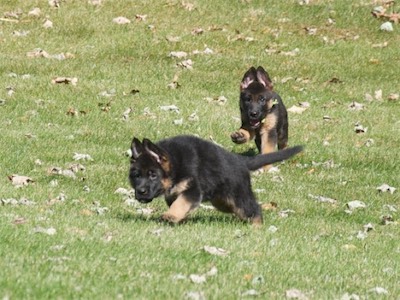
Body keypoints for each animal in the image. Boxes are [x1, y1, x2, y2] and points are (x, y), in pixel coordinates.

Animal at [130, 135, 302, 224]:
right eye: (137, 176)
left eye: (153, 175)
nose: (141, 192)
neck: (175, 165)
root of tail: (240, 160)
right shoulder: (174, 194)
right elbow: (181, 205)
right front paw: (179, 218)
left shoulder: (192, 190)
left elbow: (181, 204)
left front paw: (170, 216)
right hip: (222, 201)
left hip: (238, 195)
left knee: (254, 208)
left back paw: (256, 226)